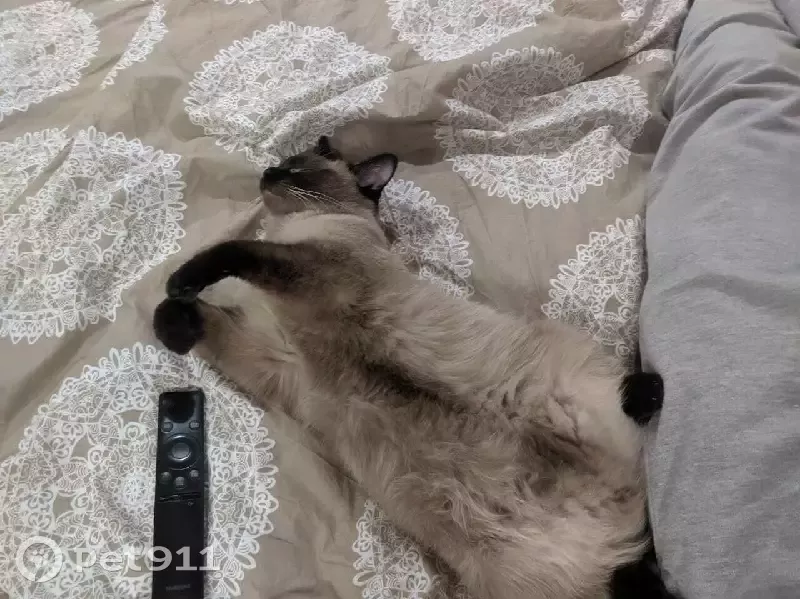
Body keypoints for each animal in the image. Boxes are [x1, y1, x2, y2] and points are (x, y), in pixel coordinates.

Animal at [153, 136, 674, 599]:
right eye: (283, 164)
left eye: (298, 167)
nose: (269, 171)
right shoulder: (272, 361)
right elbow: (194, 324)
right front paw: (173, 318)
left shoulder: (309, 272)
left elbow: (234, 251)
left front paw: (179, 282)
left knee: (638, 406)